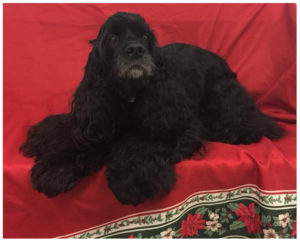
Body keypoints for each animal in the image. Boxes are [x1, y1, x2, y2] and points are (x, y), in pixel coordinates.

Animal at [19, 10, 282, 204]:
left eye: (145, 37)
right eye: (113, 38)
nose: (135, 49)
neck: (129, 96)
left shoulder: (179, 129)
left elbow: (138, 144)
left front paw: (132, 180)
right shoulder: (94, 121)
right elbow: (76, 139)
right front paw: (55, 169)